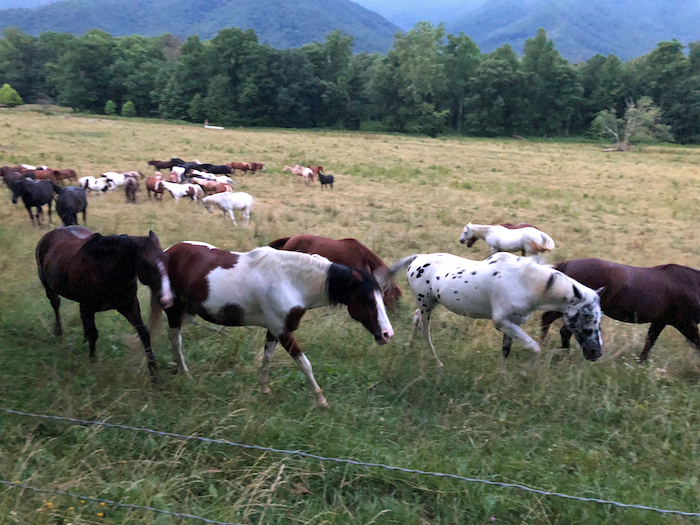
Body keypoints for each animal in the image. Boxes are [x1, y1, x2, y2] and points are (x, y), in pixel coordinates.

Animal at [36, 226, 173, 379]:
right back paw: (59, 332)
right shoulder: (87, 307)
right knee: (56, 306)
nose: (167, 299)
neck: (106, 270)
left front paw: (154, 373)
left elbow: (144, 333)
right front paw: (92, 361)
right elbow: (93, 334)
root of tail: (49, 234)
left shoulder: (129, 307)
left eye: (167, 259)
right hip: (49, 289)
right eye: (147, 263)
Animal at [148, 242, 393, 406]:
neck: (291, 281)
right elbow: (305, 364)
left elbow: (267, 358)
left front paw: (264, 388)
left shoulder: (274, 330)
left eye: (381, 296)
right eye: (367, 299)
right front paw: (320, 399)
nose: (387, 334)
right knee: (175, 339)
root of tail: (168, 252)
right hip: (174, 311)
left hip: (187, 312)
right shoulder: (284, 332)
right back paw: (184, 373)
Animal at [390, 252, 603, 367]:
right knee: (425, 332)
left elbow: (505, 350)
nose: (596, 352)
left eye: (598, 317)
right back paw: (437, 362)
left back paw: (409, 348)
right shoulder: (502, 322)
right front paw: (528, 372)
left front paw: (503, 375)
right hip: (426, 306)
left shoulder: (513, 323)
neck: (525, 282)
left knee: (415, 319)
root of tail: (417, 258)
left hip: (430, 304)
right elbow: (534, 347)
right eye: (586, 316)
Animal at [541, 258, 700, 362]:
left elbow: (649, 343)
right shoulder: (685, 324)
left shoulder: (660, 322)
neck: (691, 284)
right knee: (556, 325)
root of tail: (568, 264)